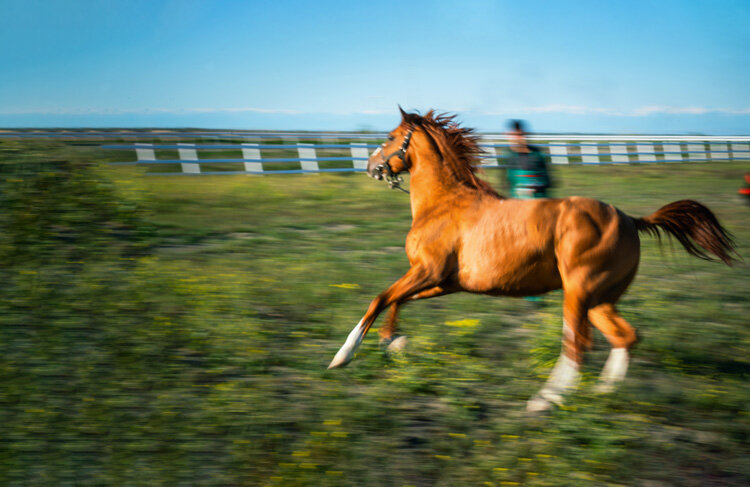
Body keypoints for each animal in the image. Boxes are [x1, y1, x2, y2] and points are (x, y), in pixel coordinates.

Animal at [328, 107, 736, 412]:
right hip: (599, 300)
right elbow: (398, 300)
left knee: (577, 345)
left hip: (578, 293)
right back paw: (602, 392)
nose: (371, 166)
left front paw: (343, 356)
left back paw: (545, 400)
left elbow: (379, 298)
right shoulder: (443, 282)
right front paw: (393, 342)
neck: (444, 205)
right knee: (625, 336)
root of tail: (630, 219)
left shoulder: (428, 271)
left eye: (391, 137)